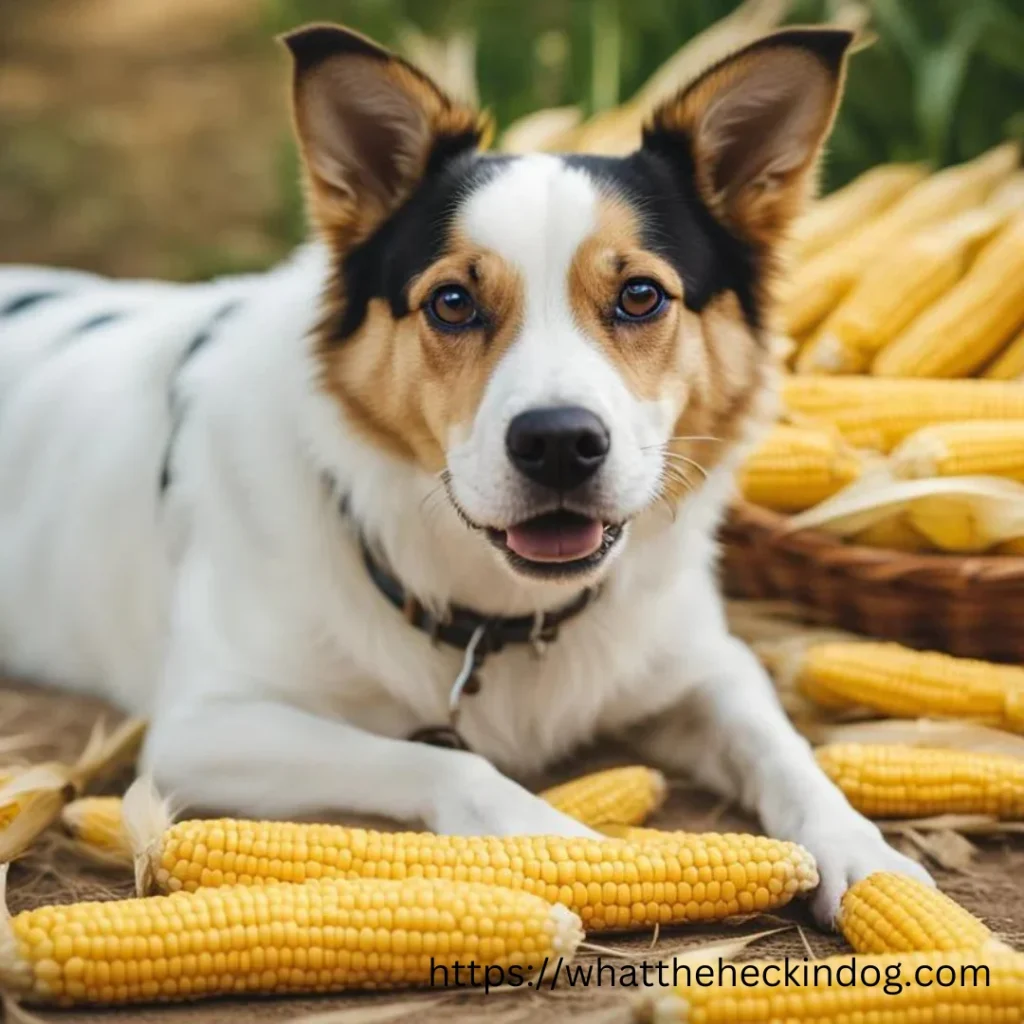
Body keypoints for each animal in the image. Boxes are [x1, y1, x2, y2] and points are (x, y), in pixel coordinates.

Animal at [0, 24, 929, 925]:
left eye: (640, 296)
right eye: (453, 303)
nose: (559, 444)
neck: (504, 613)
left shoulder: (706, 665)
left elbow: (788, 749)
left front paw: (867, 855)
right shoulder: (204, 726)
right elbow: (442, 763)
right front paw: (562, 848)